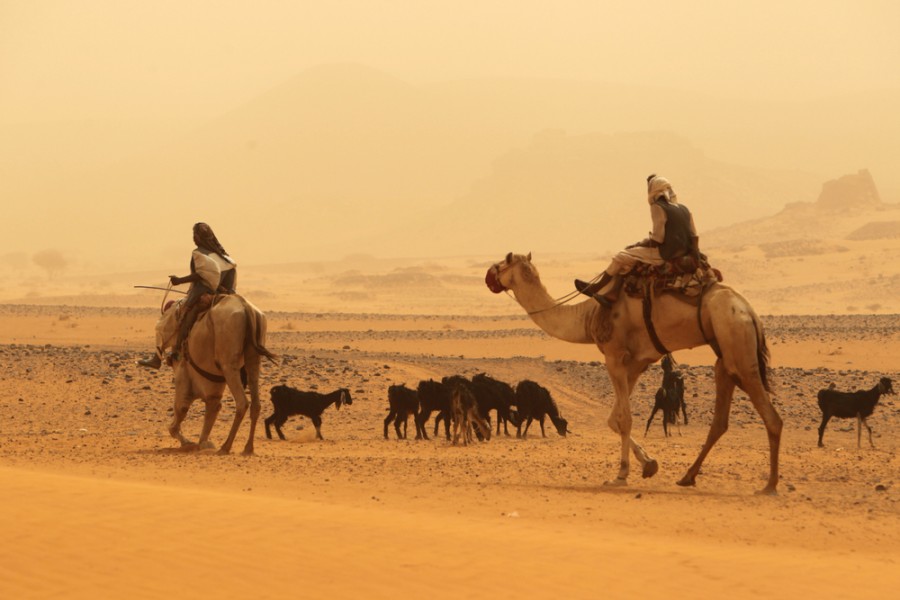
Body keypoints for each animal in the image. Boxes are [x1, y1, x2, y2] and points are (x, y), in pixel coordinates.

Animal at [167, 294, 276, 454]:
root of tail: (246, 307)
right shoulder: (212, 390)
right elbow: (213, 408)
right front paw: (201, 443)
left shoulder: (184, 377)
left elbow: (181, 409)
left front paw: (189, 442)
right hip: (253, 358)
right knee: (256, 404)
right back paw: (248, 448)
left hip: (228, 365)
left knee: (242, 403)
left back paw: (226, 446)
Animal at [486, 251, 780, 494]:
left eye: (502, 262)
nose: (488, 276)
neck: (588, 316)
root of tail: (751, 313)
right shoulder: (638, 362)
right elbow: (613, 419)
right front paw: (649, 464)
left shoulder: (614, 356)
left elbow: (624, 419)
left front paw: (621, 474)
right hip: (725, 358)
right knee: (720, 421)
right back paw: (688, 477)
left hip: (738, 347)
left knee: (771, 417)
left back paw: (769, 485)